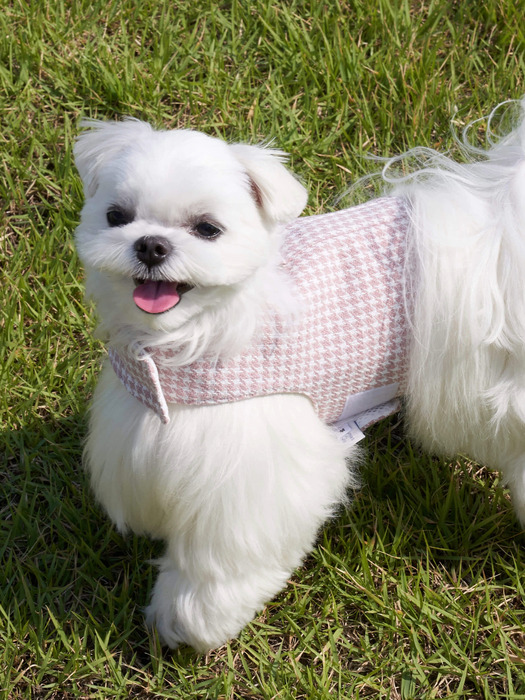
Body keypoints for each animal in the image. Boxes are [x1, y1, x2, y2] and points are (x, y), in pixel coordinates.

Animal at [74, 101, 525, 652]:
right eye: (116, 216)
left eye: (207, 229)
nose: (151, 245)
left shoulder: (254, 472)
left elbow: (223, 561)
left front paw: (187, 619)